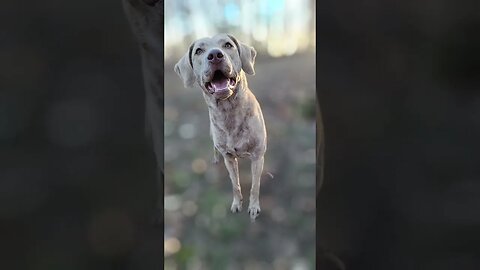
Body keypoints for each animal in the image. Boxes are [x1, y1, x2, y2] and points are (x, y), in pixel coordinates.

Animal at [175, 33, 268, 221]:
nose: (215, 55)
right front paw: (237, 203)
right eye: (199, 51)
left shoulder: (257, 156)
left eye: (228, 45)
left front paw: (254, 207)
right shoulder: (229, 158)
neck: (229, 111)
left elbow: (255, 186)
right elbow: (235, 184)